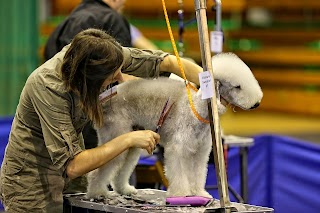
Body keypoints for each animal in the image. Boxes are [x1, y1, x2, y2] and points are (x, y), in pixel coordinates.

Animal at [87, 53, 262, 200]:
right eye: (237, 86)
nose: (256, 104)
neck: (197, 109)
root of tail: (102, 101)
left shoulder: (200, 152)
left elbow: (198, 174)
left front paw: (199, 193)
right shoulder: (178, 149)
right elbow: (179, 172)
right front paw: (181, 194)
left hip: (132, 140)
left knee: (122, 169)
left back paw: (124, 189)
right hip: (115, 135)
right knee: (98, 170)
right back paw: (97, 192)